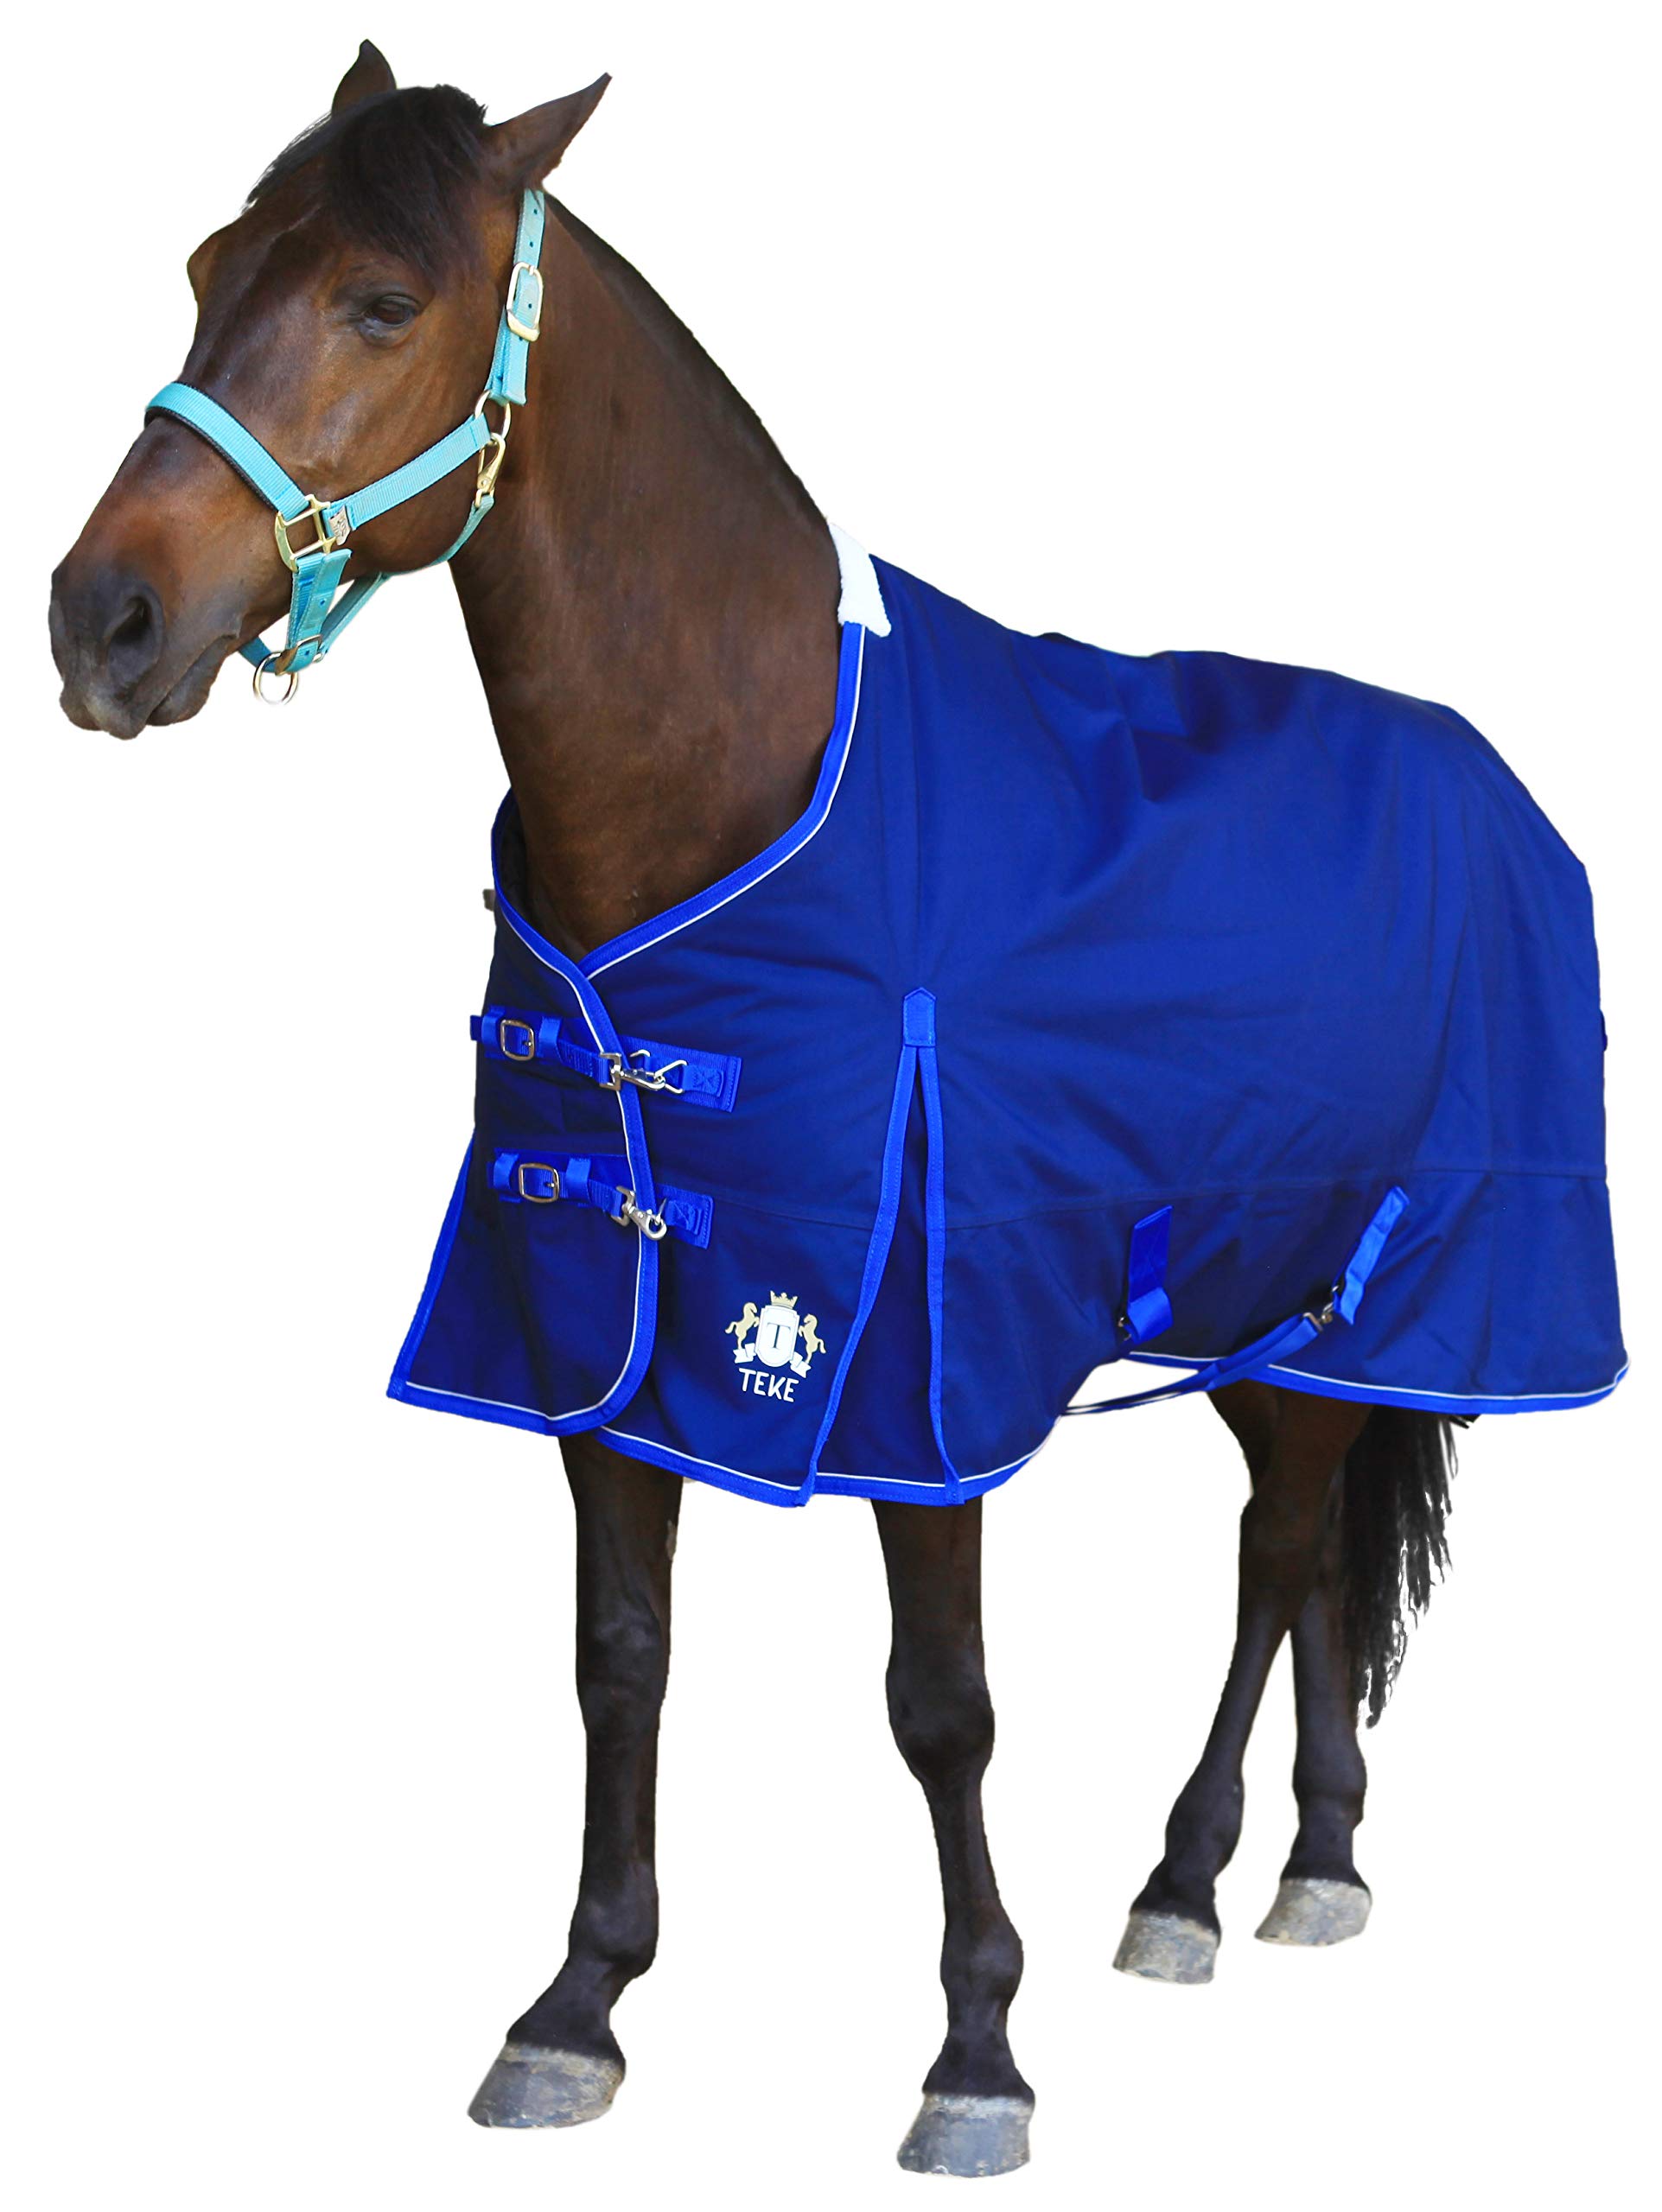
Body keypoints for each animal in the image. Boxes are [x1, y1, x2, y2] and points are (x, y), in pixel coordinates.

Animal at [49, 48, 1622, 2180]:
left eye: (380, 301)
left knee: (1277, 1549)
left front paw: (976, 2055)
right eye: (211, 268)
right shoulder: (599, 1327)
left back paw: (1191, 1878)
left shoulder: (914, 1362)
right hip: (1263, 1301)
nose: (101, 620)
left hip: (1369, 1278)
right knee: (1301, 1549)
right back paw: (1308, 1856)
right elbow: (617, 1657)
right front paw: (575, 2006)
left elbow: (939, 1703)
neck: (731, 790)